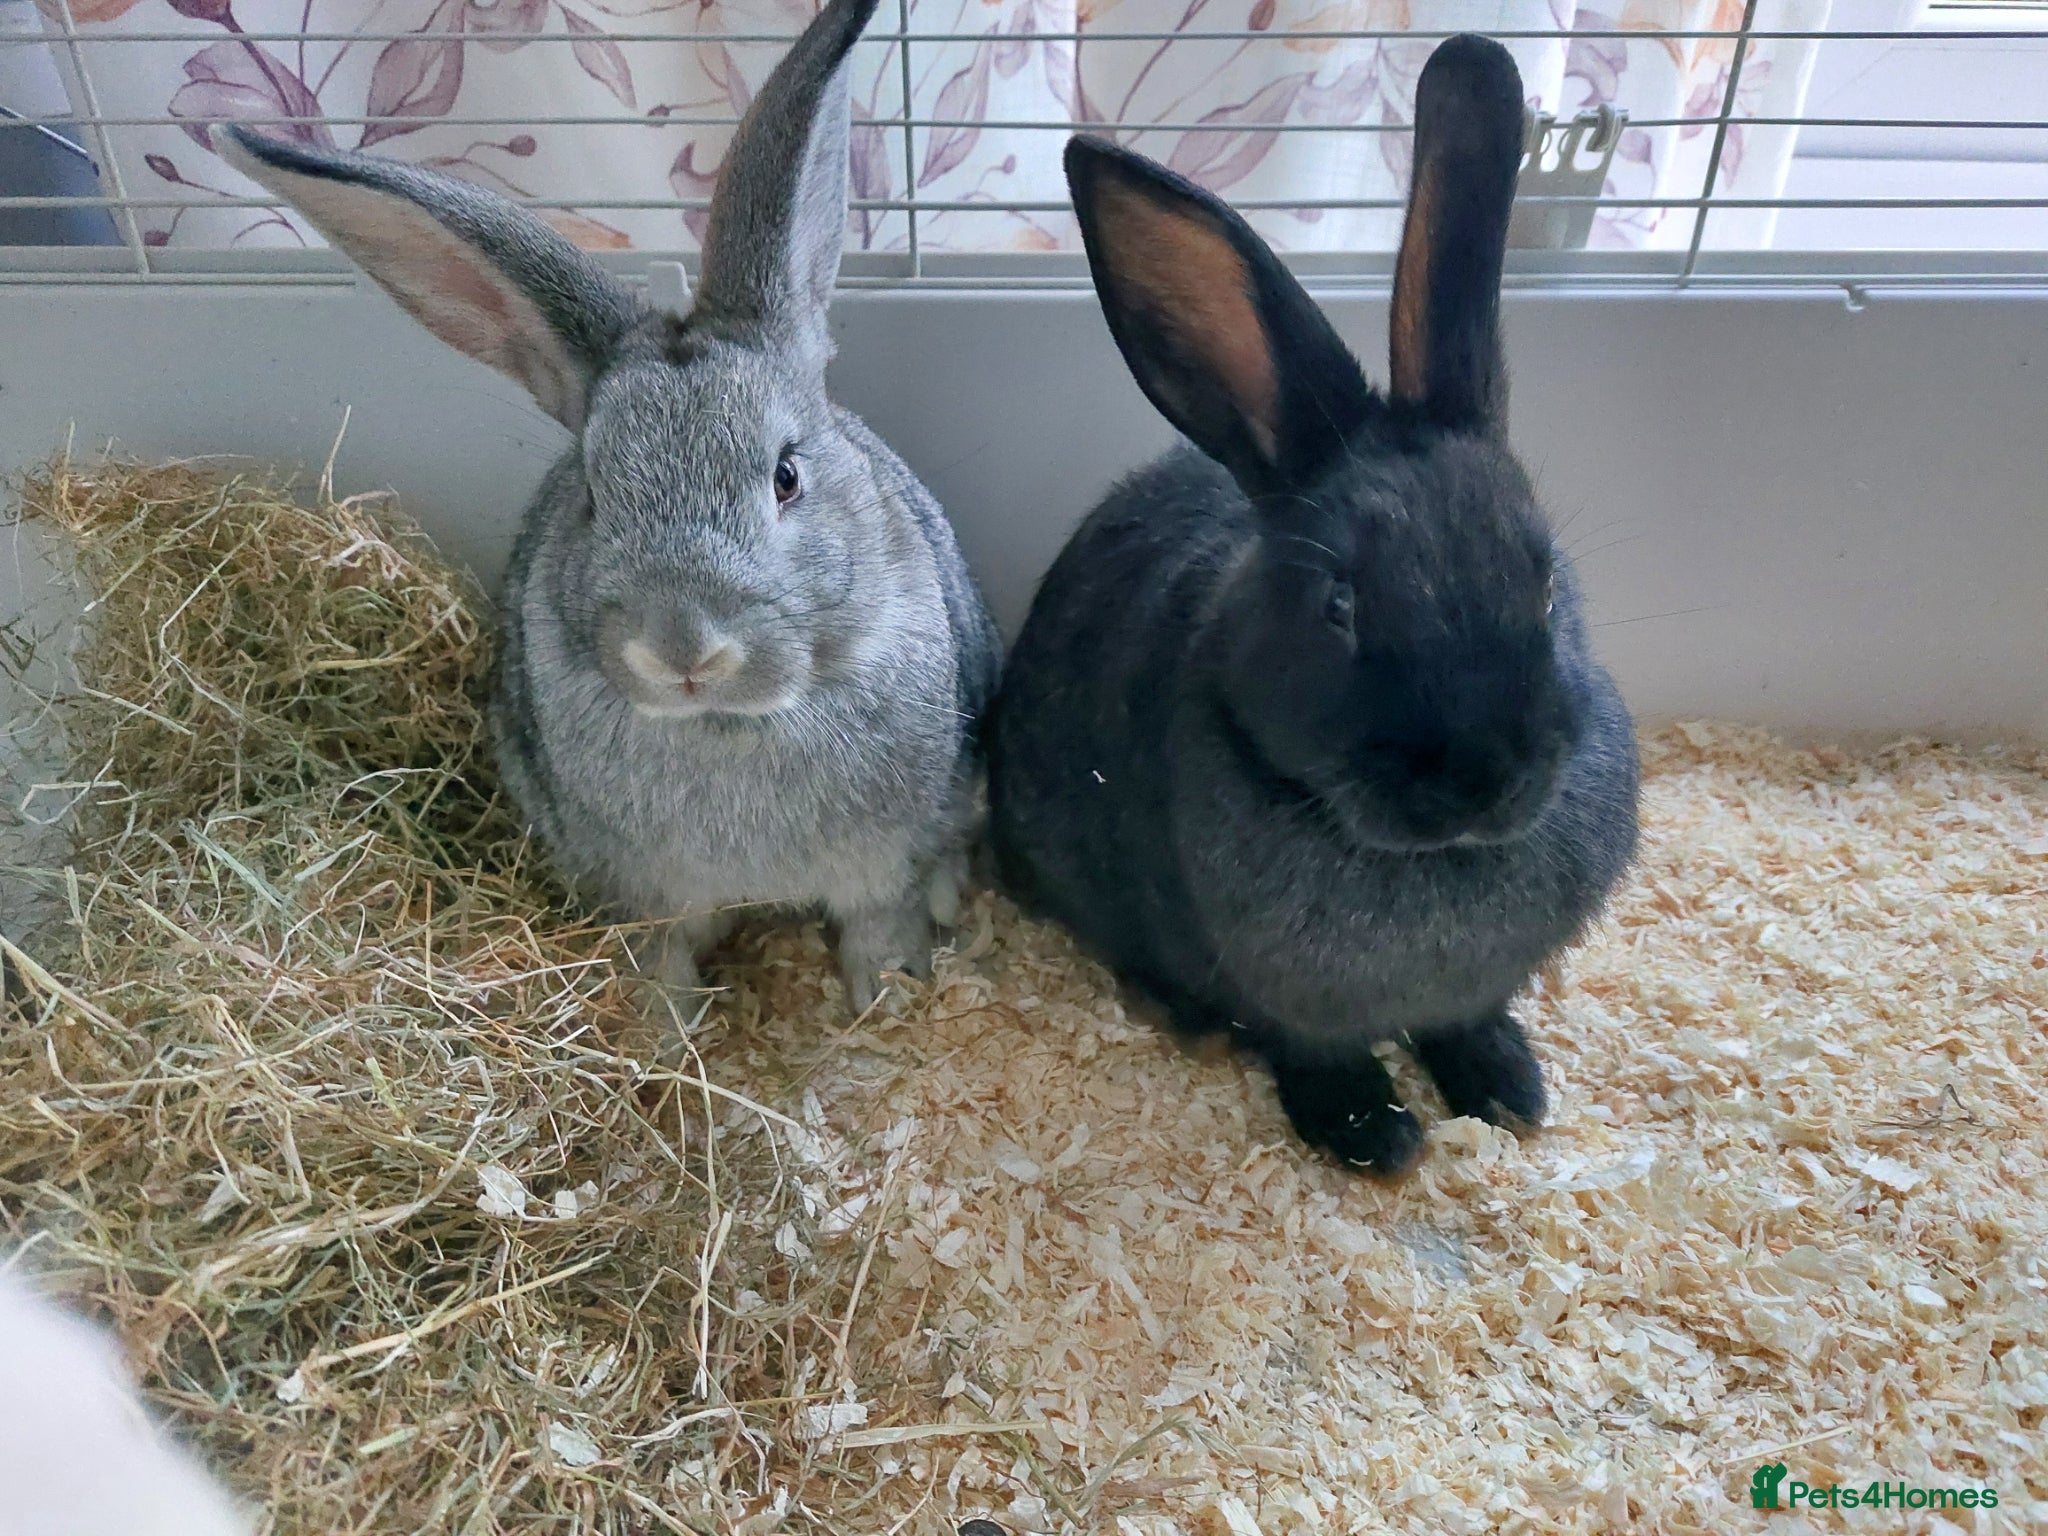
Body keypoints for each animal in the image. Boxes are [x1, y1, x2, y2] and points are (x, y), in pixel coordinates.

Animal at [222, 0, 1000, 1019]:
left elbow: (882, 931)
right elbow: (659, 971)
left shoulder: (883, 867)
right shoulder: (645, 900)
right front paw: (666, 1042)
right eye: (594, 494)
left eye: (786, 476)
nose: (683, 650)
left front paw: (889, 1003)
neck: (727, 725)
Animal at [987, 35, 1640, 1176]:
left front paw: (1507, 1087)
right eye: (1341, 605)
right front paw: (1372, 1132)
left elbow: (1464, 1022)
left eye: (1546, 579)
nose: (1485, 779)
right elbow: (1309, 1048)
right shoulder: (1277, 997)